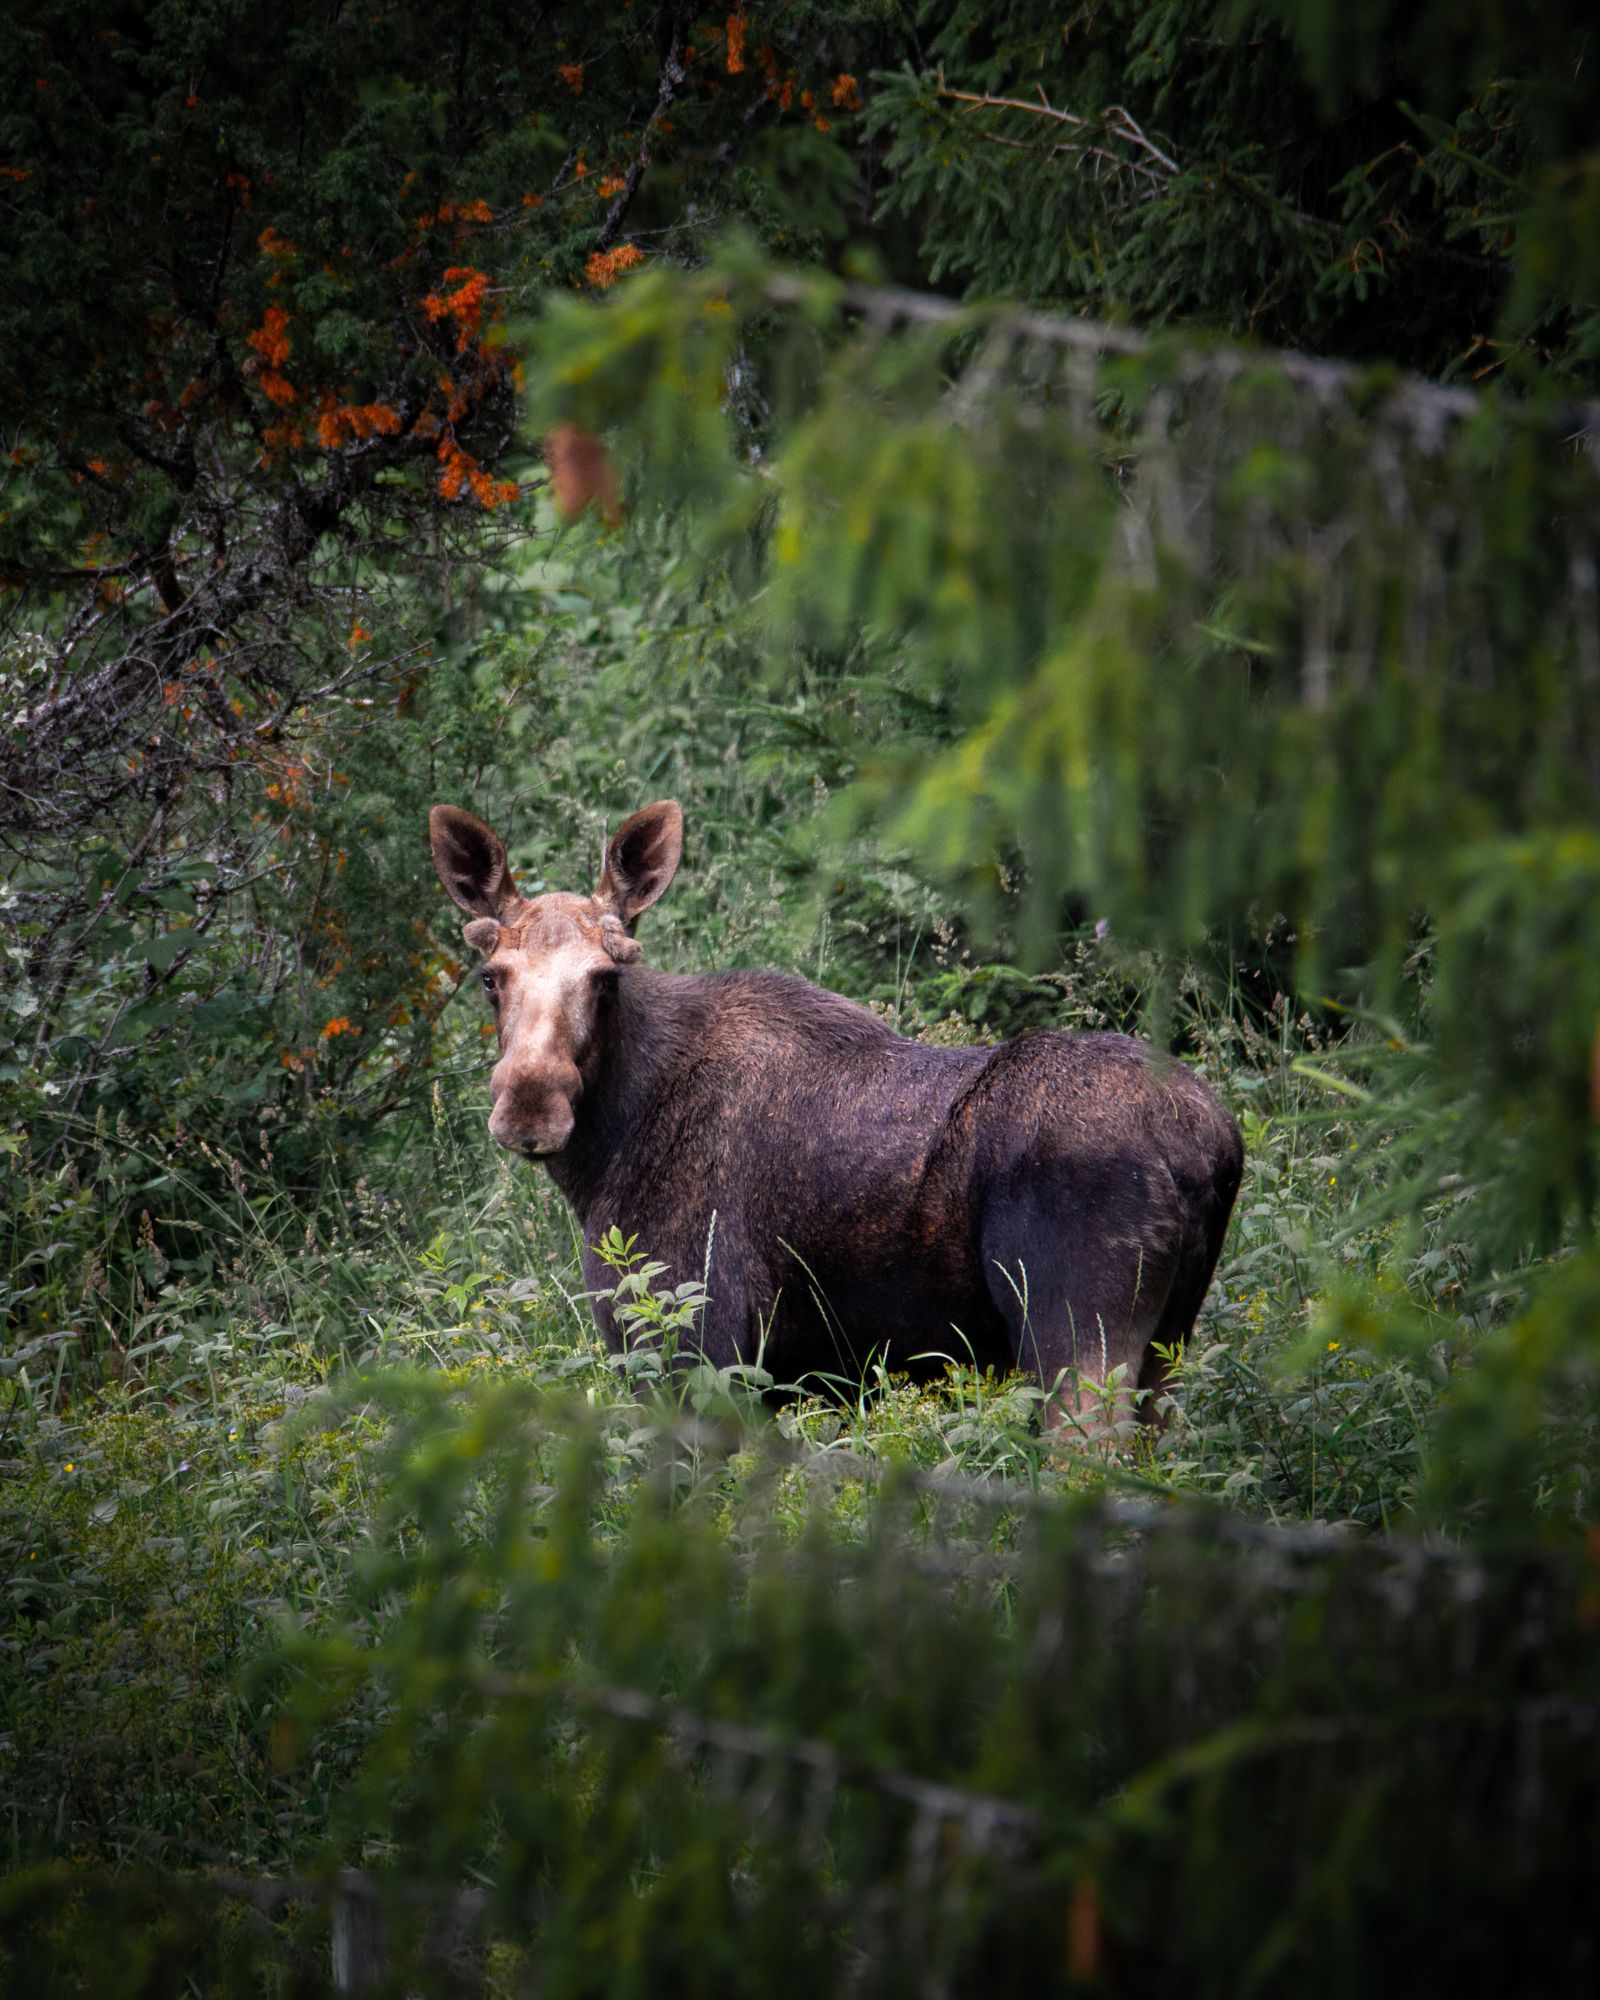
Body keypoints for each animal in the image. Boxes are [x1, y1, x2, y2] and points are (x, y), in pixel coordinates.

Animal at [429, 799, 1243, 1430]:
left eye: (604, 979)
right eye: (491, 978)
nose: (529, 1105)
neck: (604, 1152)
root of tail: (1209, 1148)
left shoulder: (694, 1347)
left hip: (1075, 1336)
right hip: (1167, 1346)